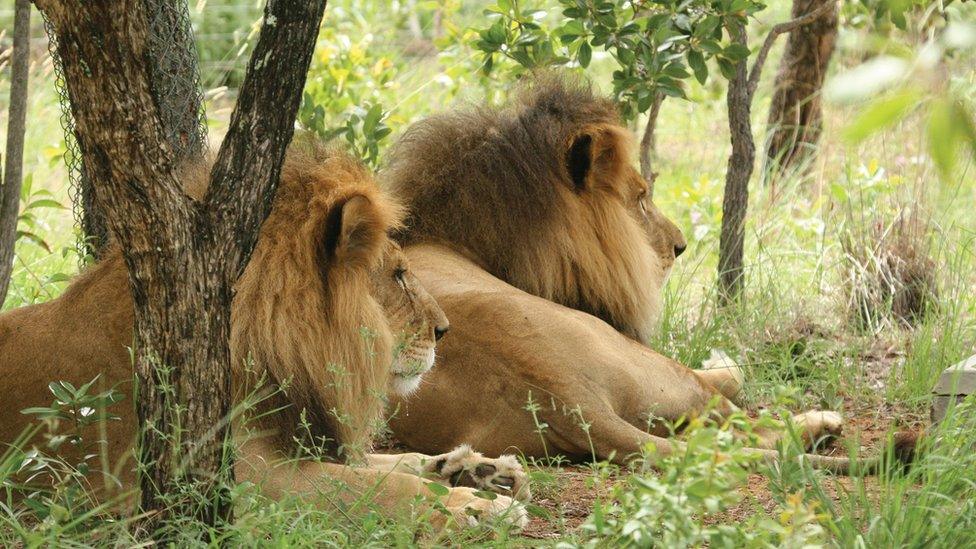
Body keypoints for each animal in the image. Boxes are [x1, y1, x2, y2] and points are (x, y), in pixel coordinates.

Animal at [0, 139, 528, 528]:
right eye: (398, 275)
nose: (444, 330)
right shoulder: (243, 482)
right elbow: (384, 486)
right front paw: (479, 508)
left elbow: (393, 464)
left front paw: (479, 470)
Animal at [384, 75, 916, 474]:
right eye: (640, 198)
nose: (680, 246)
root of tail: (560, 393)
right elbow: (734, 373)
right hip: (655, 367)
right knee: (750, 428)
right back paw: (821, 424)